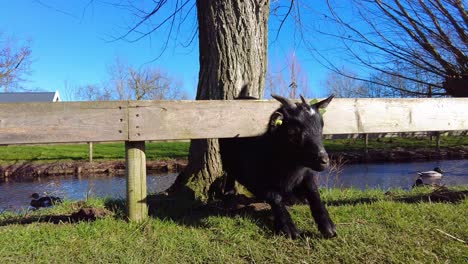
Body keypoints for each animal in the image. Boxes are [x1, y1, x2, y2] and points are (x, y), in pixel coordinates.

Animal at [219, 93, 336, 239]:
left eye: (321, 127)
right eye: (292, 132)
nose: (324, 160)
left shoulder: (306, 173)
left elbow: (314, 192)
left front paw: (328, 226)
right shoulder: (256, 181)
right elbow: (274, 196)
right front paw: (289, 228)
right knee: (229, 174)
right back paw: (229, 193)